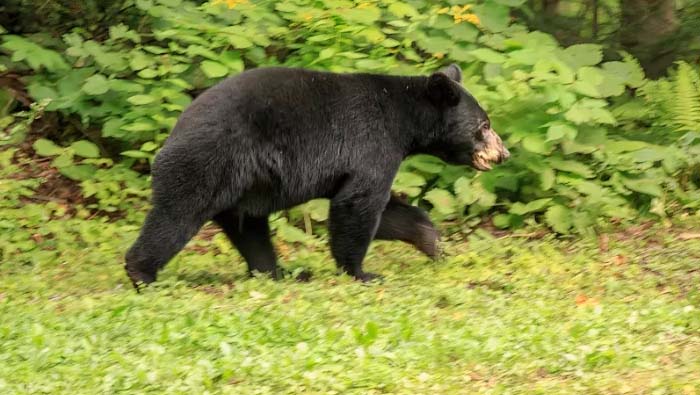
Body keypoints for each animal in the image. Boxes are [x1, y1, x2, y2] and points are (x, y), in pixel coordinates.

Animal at [124, 63, 508, 290]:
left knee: (249, 230)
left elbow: (387, 212)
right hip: (208, 161)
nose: (503, 153)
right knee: (175, 215)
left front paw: (432, 244)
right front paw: (362, 272)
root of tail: (175, 130)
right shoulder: (372, 143)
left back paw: (278, 273)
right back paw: (141, 273)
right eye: (484, 125)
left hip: (243, 185)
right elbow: (358, 204)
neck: (404, 119)